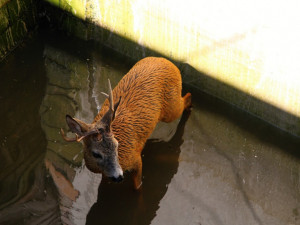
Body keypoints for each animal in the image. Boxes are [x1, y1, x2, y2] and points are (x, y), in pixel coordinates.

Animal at [61, 56, 192, 190]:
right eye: (96, 154)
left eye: (116, 145)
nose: (118, 177)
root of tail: (166, 61)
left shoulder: (136, 159)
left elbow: (137, 186)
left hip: (171, 108)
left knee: (185, 99)